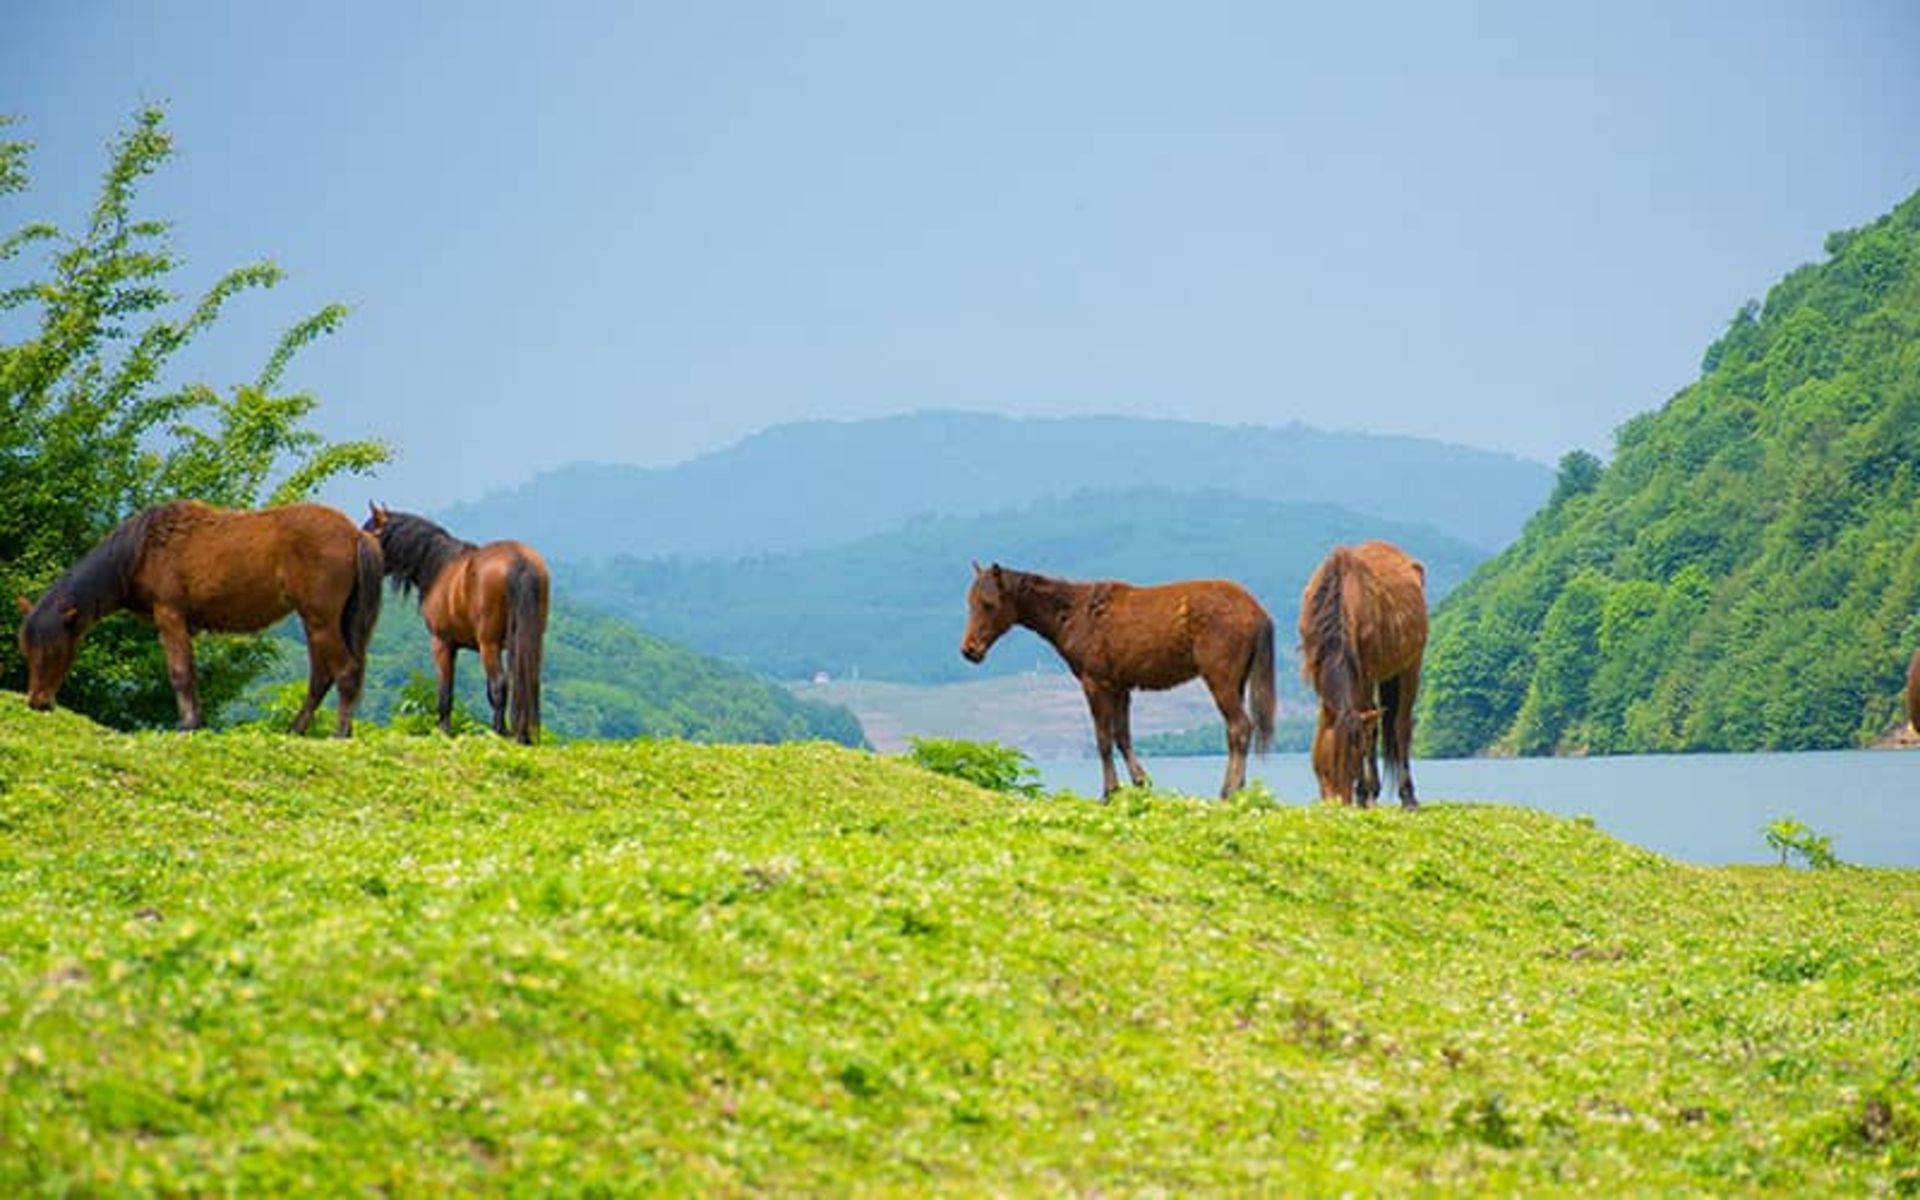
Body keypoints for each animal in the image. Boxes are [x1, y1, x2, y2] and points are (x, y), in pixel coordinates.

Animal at [16, 500, 382, 735]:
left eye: (54, 649)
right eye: (27, 650)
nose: (38, 702)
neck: (143, 549)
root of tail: (356, 534)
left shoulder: (170, 614)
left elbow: (180, 673)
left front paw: (187, 724)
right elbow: (190, 672)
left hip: (321, 620)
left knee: (345, 671)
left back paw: (339, 733)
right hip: (317, 621)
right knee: (322, 677)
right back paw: (297, 729)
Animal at [362, 505, 550, 744]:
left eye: (368, 531)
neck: (438, 566)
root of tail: (519, 560)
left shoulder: (443, 644)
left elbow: (446, 693)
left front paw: (444, 732)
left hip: (488, 644)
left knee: (500, 684)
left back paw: (498, 732)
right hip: (528, 642)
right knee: (525, 682)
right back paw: (522, 735)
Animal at [960, 563, 1276, 798]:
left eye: (988, 604)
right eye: (970, 602)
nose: (969, 650)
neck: (1075, 614)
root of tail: (1257, 610)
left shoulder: (1094, 683)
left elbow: (1103, 740)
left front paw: (1109, 791)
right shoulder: (1120, 687)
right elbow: (1122, 736)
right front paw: (1140, 782)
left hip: (1220, 679)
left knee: (1239, 727)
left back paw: (1228, 791)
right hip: (1237, 681)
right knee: (1237, 730)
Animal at [1298, 540, 1428, 808]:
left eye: (1354, 758)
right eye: (1328, 760)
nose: (1340, 802)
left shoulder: (1365, 673)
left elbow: (1369, 732)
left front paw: (1363, 793)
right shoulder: (1318, 672)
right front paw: (1366, 792)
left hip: (1410, 665)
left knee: (1401, 726)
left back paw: (1407, 795)